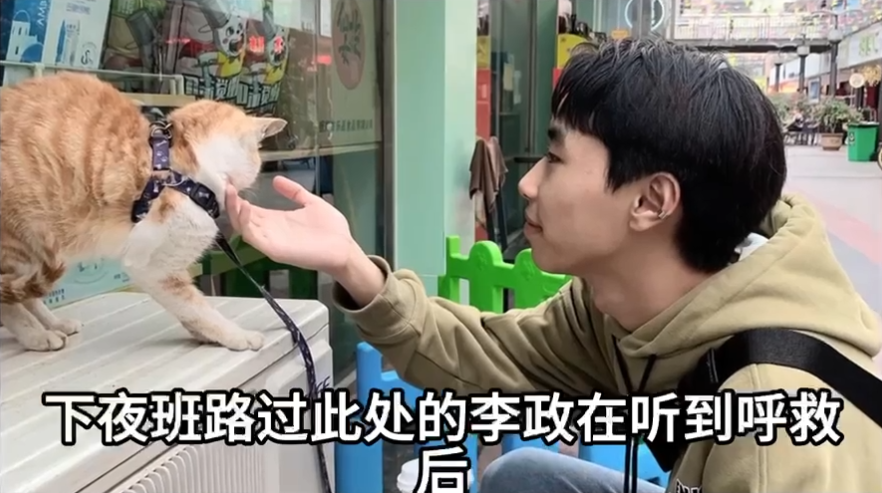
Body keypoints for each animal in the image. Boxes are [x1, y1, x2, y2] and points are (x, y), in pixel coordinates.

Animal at [0, 71, 287, 352]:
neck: (184, 169)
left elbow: (188, 311)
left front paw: (203, 336)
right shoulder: (154, 267)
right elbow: (197, 309)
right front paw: (236, 335)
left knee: (27, 295)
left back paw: (54, 324)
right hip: (21, 243)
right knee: (9, 303)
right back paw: (37, 336)